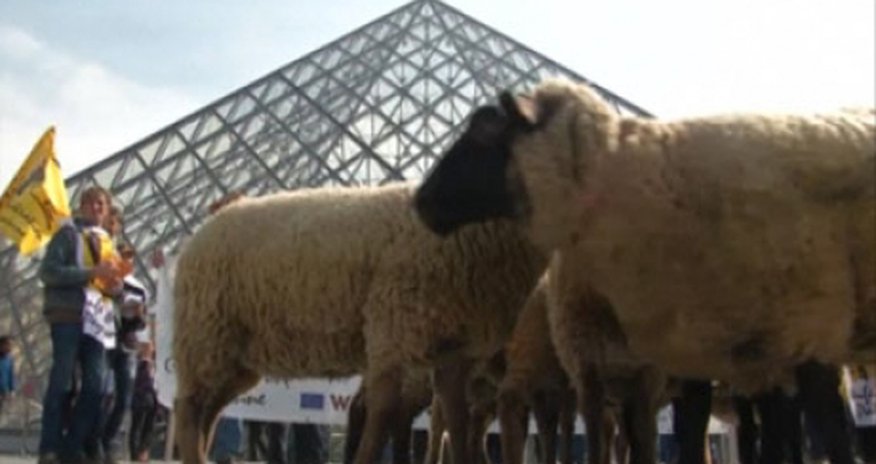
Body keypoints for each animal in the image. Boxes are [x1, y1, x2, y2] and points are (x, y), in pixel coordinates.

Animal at [172, 182, 545, 464]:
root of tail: (210, 222)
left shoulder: (453, 349)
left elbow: (457, 418)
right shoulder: (394, 328)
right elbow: (384, 408)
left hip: (235, 355)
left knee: (210, 409)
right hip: (206, 334)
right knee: (189, 408)